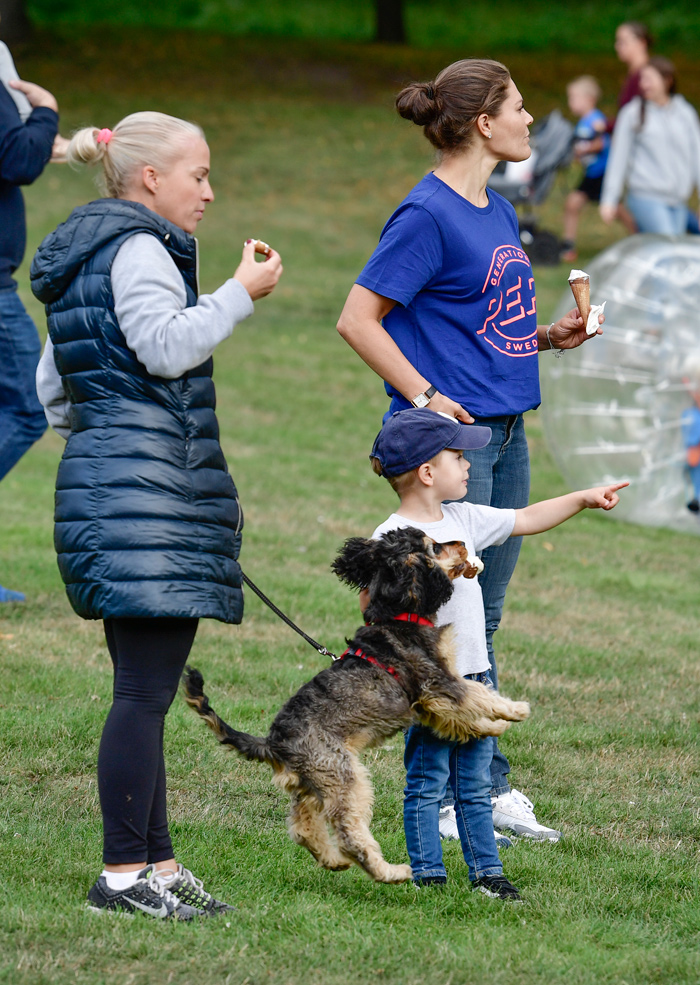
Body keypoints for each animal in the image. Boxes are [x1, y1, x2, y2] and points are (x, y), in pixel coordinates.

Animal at [183, 532, 528, 884]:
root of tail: (272, 743)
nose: (461, 543)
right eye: (434, 545)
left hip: (312, 785)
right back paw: (391, 871)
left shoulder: (428, 705)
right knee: (350, 834)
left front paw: (492, 727)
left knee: (303, 828)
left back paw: (333, 861)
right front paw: (515, 710)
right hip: (344, 776)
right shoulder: (438, 682)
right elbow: (478, 694)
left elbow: (461, 719)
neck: (398, 616)